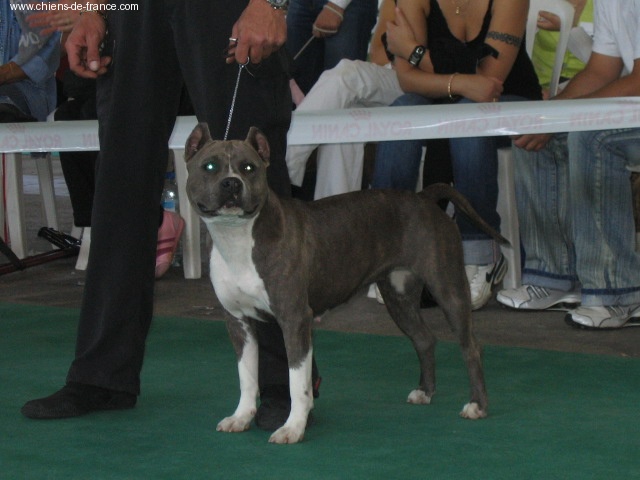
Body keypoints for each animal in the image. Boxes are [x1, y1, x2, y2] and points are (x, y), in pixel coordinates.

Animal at [184, 123, 507, 444]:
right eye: (209, 166)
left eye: (249, 168)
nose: (231, 183)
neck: (238, 239)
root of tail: (425, 197)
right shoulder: (238, 322)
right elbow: (247, 376)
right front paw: (241, 417)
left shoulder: (293, 319)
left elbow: (297, 381)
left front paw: (293, 427)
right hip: (398, 296)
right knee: (424, 339)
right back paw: (424, 392)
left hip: (448, 288)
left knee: (471, 347)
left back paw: (477, 405)